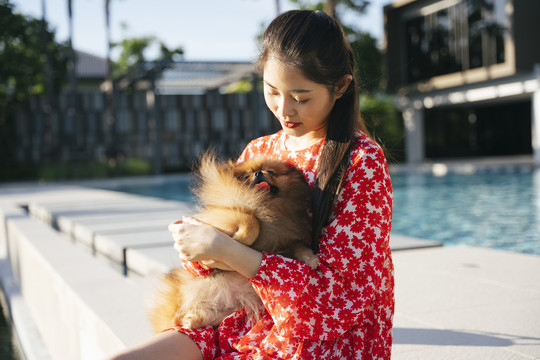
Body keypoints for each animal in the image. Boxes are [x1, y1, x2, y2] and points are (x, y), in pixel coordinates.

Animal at [148, 152, 318, 332]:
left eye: (271, 171)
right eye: (246, 176)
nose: (258, 173)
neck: (267, 207)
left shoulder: (284, 240)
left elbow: (299, 246)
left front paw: (311, 258)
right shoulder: (221, 214)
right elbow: (250, 219)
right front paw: (239, 238)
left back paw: (192, 319)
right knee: (177, 317)